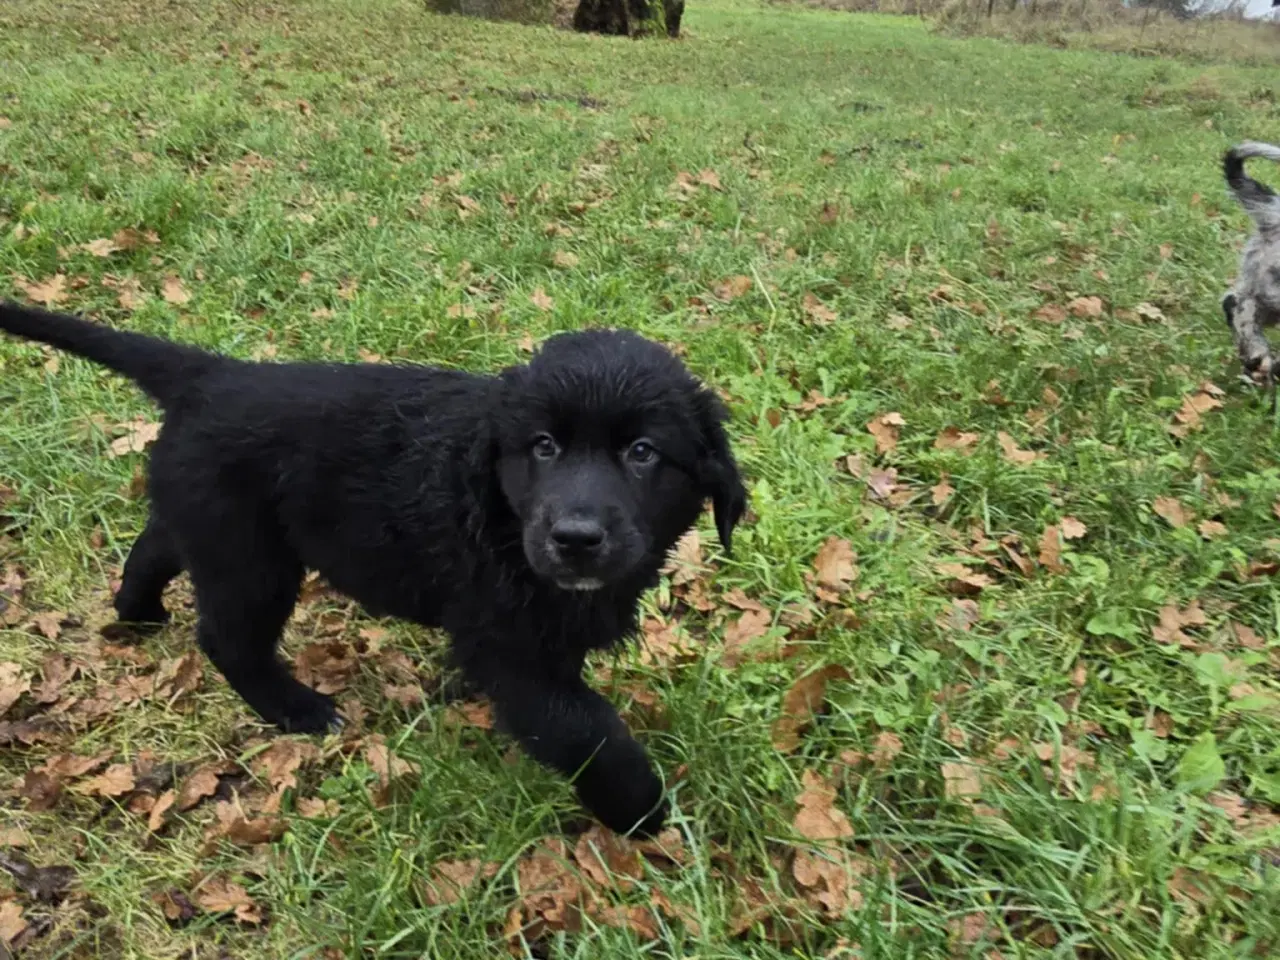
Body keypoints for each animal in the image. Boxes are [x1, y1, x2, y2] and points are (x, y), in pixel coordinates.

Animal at [0, 304, 747, 839]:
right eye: (543, 447)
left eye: (643, 452)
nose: (575, 539)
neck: (504, 520)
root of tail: (214, 375)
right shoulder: (507, 644)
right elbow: (586, 728)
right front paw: (645, 813)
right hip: (253, 559)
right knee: (226, 638)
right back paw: (297, 708)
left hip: (212, 520)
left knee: (158, 541)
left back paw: (138, 610)